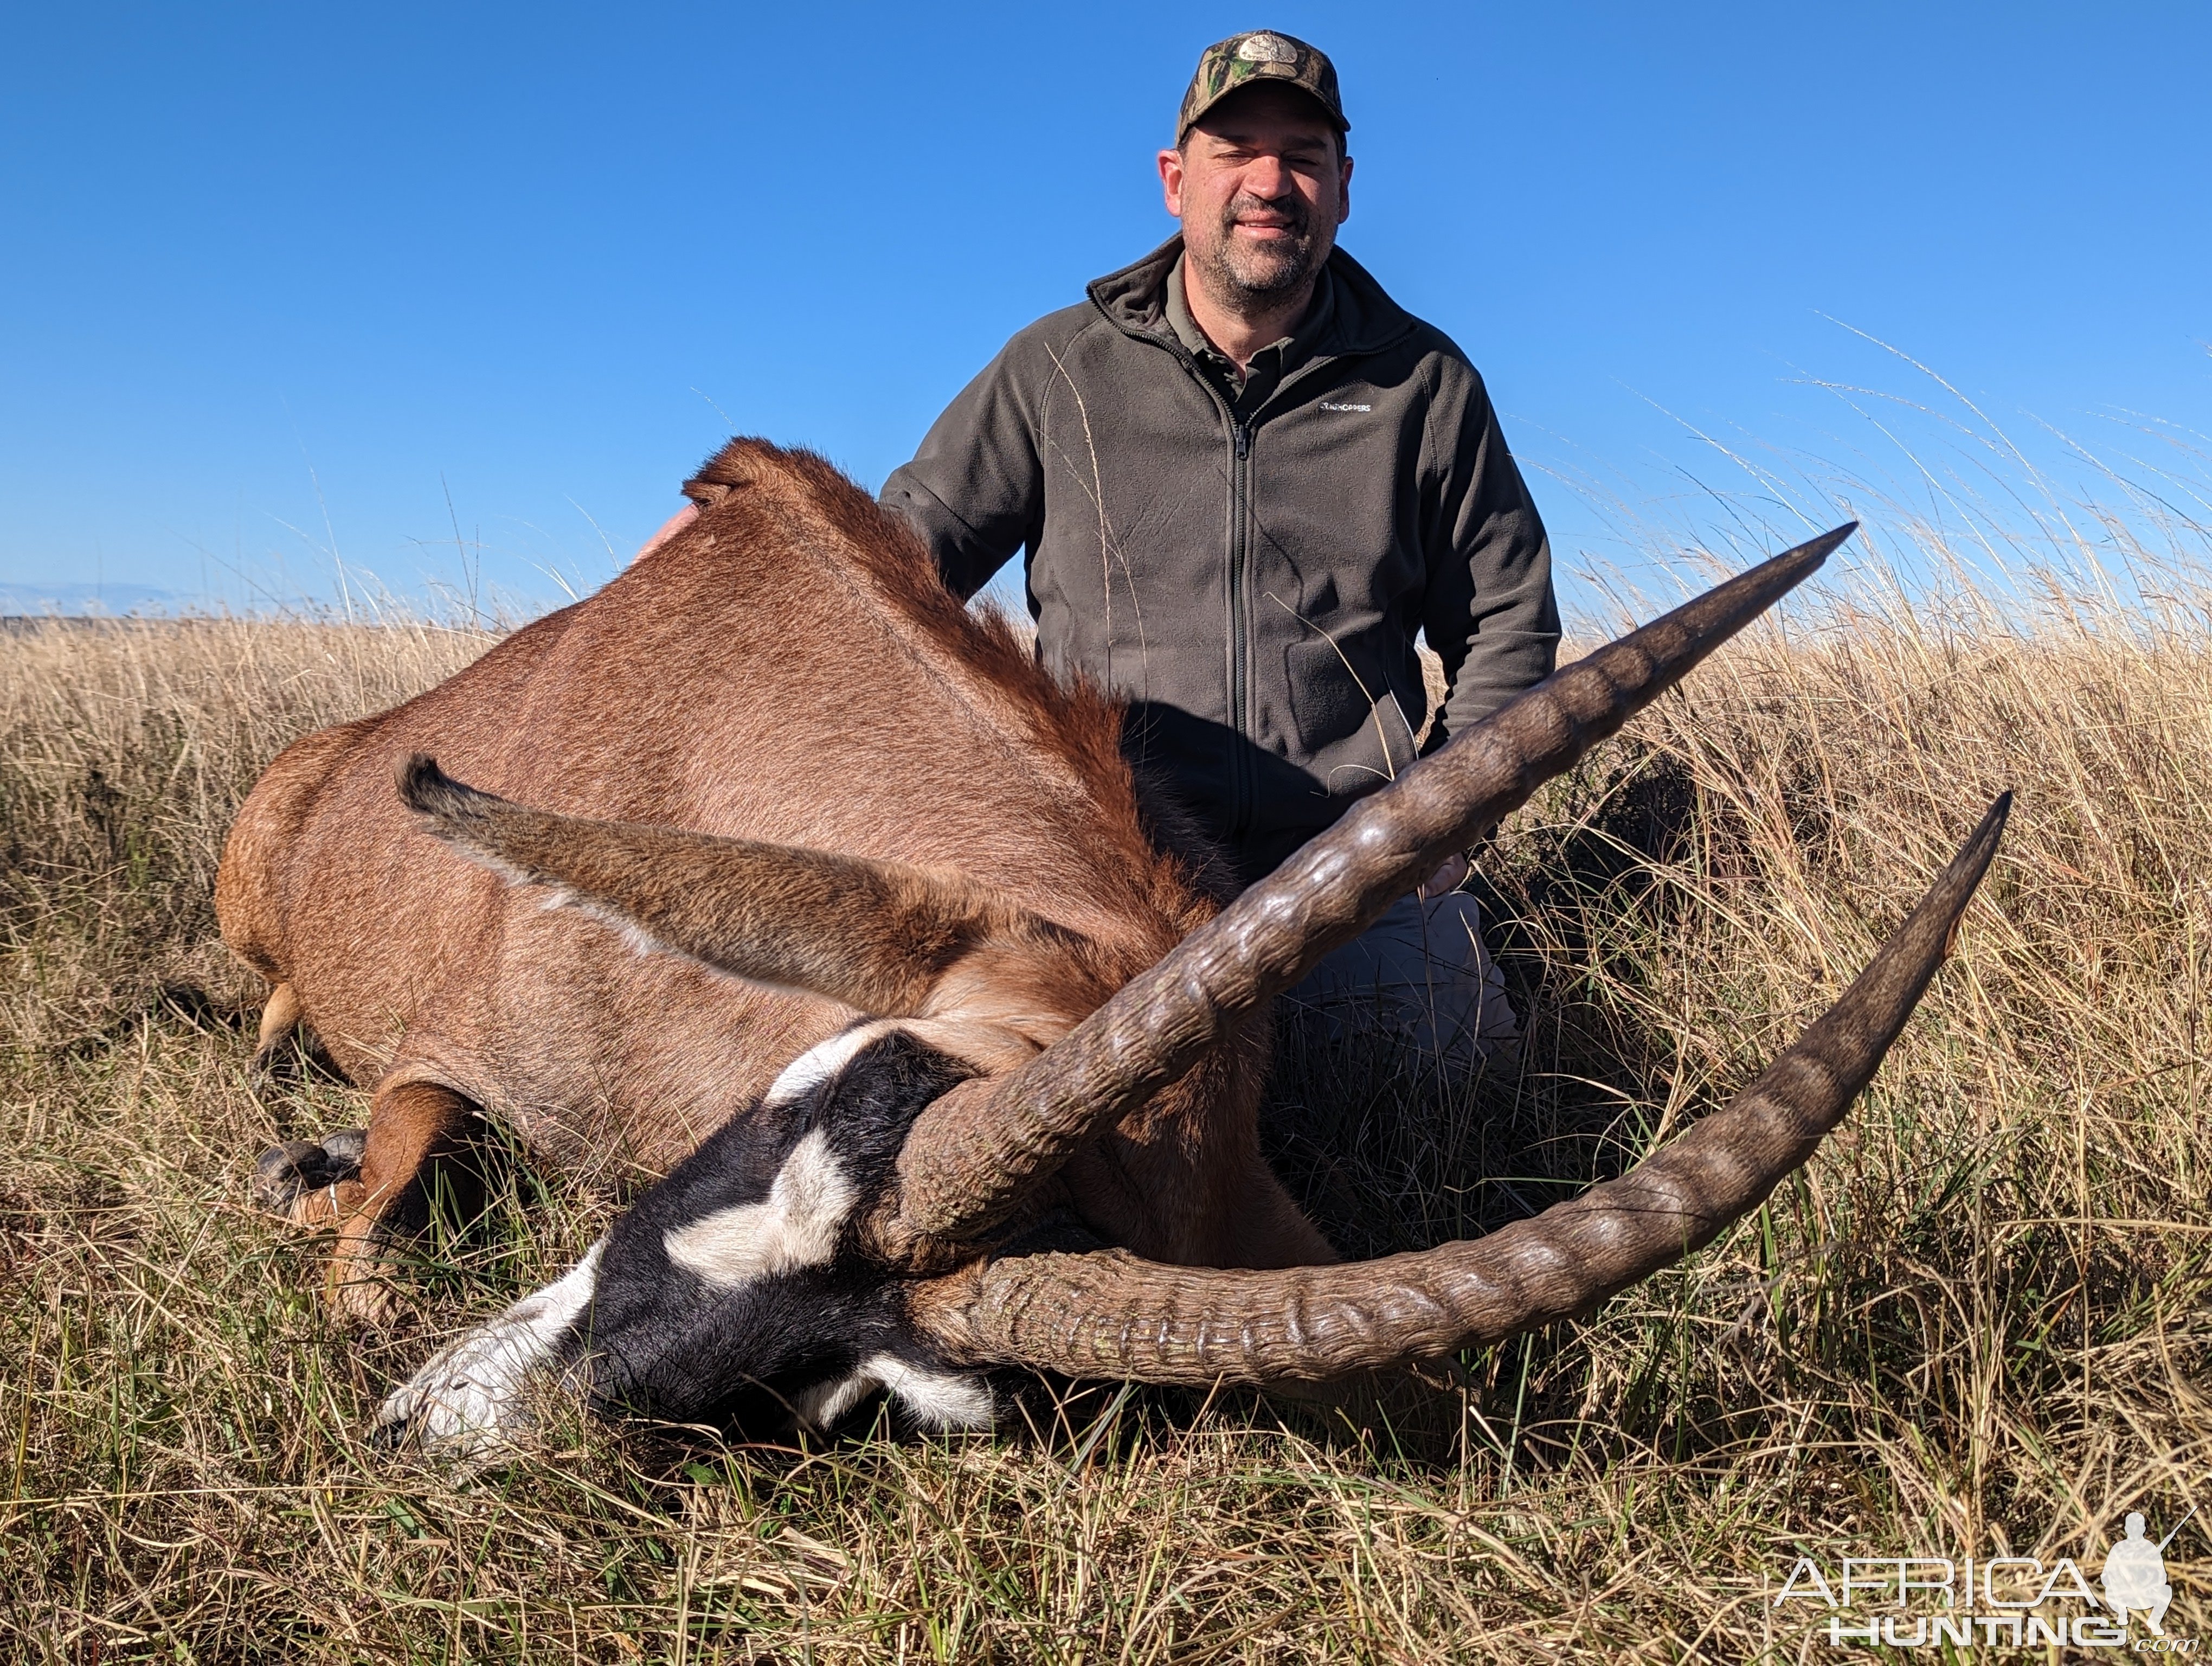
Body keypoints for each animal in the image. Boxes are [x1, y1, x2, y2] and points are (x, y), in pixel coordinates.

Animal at [220, 438, 2008, 1442]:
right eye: (801, 1118)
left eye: (865, 1387)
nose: (437, 1427)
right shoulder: (448, 1057)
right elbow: (397, 1162)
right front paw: (321, 1201)